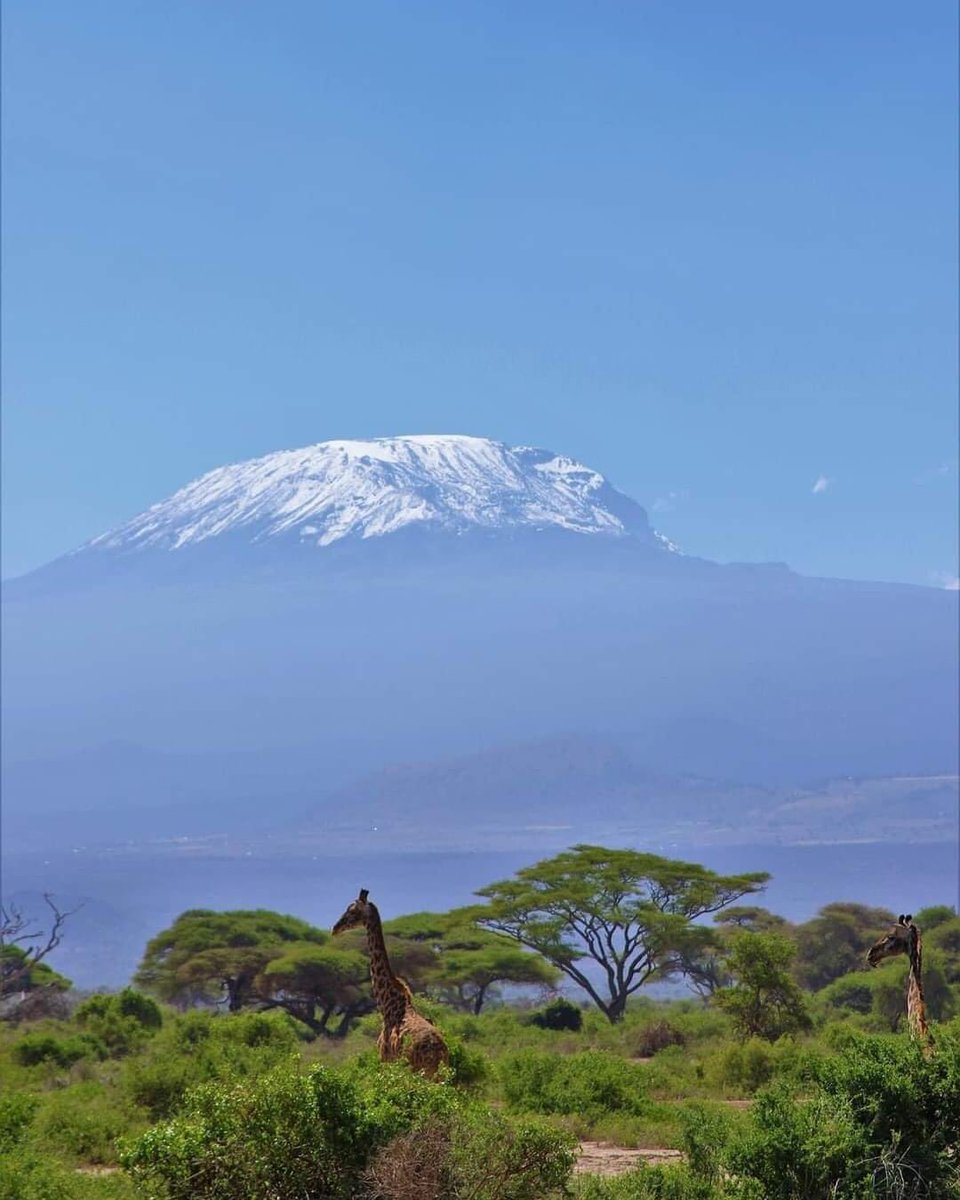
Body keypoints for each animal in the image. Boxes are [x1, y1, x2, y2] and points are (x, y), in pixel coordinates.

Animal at [331, 892, 448, 1080]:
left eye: (352, 911)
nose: (335, 928)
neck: (387, 1005)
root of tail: (438, 1051)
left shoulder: (385, 1059)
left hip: (419, 1072)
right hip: (440, 1076)